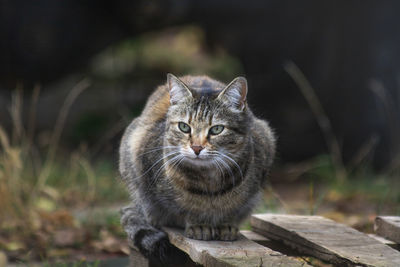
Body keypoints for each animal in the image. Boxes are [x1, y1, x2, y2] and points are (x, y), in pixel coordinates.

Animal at [119, 74, 276, 262]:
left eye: (217, 129)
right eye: (184, 127)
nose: (196, 147)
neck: (209, 181)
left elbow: (232, 209)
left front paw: (225, 224)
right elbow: (183, 209)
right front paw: (198, 224)